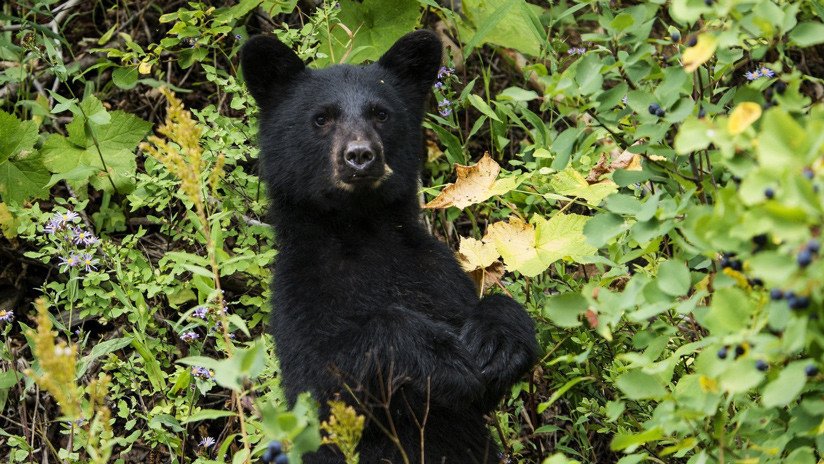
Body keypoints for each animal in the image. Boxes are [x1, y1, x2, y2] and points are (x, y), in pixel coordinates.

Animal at [243, 29, 540, 464]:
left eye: (380, 114)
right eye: (322, 118)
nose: (360, 156)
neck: (360, 231)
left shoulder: (433, 271)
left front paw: (496, 343)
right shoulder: (300, 291)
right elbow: (324, 373)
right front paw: (439, 355)